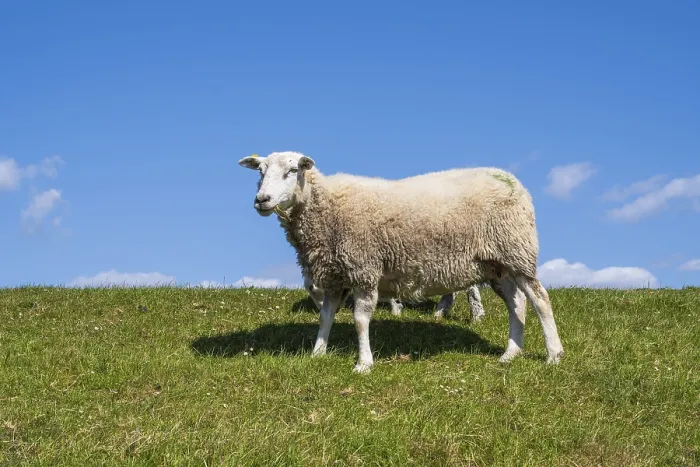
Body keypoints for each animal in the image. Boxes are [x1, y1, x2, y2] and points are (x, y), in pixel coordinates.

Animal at [239, 151, 564, 373]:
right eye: (260, 172)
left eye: (293, 170)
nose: (262, 200)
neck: (327, 206)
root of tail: (514, 182)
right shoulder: (335, 275)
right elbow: (325, 317)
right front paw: (317, 353)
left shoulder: (364, 268)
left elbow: (360, 320)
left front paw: (364, 363)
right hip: (497, 265)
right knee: (517, 304)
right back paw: (510, 353)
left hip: (517, 251)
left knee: (540, 300)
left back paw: (554, 354)